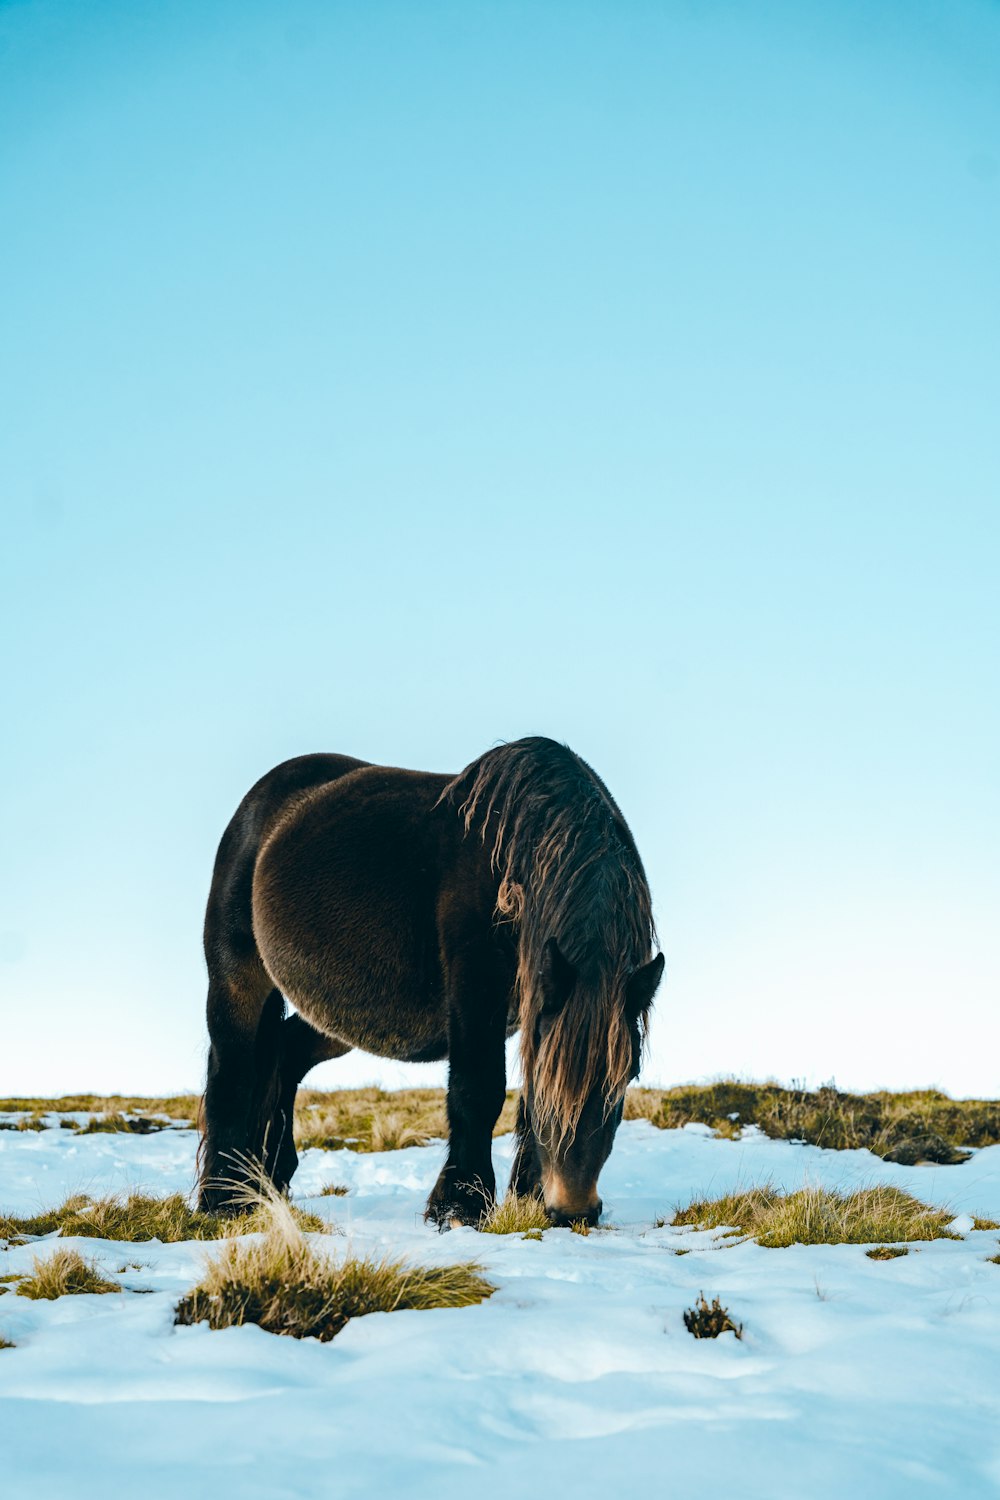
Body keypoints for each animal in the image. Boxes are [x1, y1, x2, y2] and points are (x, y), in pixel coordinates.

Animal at [194, 732, 665, 1224]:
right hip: (237, 980)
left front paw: (526, 1195)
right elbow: (478, 1089)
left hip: (334, 1016)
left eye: (628, 1075)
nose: (573, 1210)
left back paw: (269, 1179)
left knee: (285, 1057)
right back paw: (222, 1198)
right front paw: (461, 1203)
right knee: (231, 1070)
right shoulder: (476, 988)